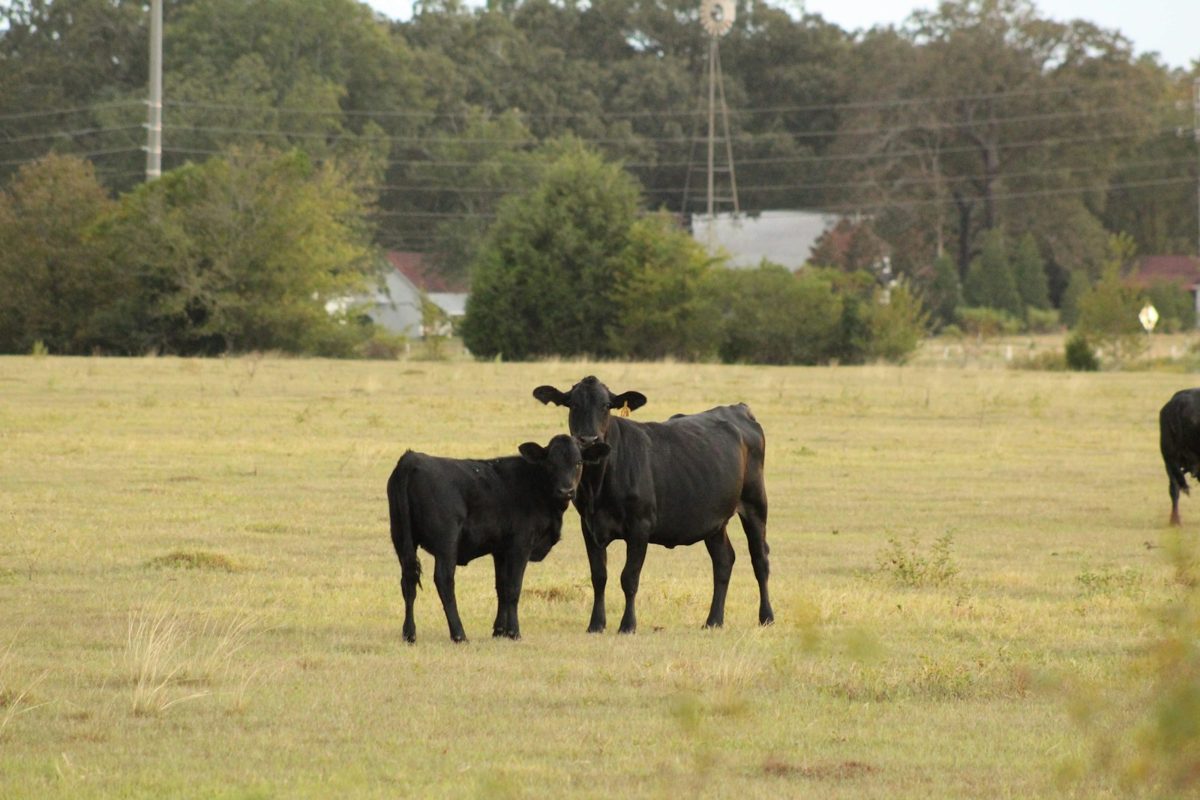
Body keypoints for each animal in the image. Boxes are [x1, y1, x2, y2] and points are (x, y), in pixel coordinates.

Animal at [387, 434, 609, 642]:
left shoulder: (500, 550)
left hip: (402, 540)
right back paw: (459, 634)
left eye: (578, 462)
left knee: (408, 582)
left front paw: (499, 631)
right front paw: (514, 632)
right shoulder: (520, 546)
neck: (536, 485)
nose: (566, 491)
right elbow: (513, 588)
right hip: (446, 543)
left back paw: (409, 634)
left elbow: (501, 587)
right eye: (551, 463)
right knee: (444, 581)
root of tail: (411, 459)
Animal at [532, 375, 774, 634]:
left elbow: (629, 577)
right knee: (723, 561)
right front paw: (596, 624)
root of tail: (738, 408)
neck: (598, 485)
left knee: (759, 559)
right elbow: (599, 576)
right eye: (573, 404)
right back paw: (713, 621)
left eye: (606, 406)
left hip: (755, 503)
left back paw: (766, 617)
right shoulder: (588, 525)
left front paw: (628, 625)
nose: (588, 440)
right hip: (715, 520)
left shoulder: (640, 526)